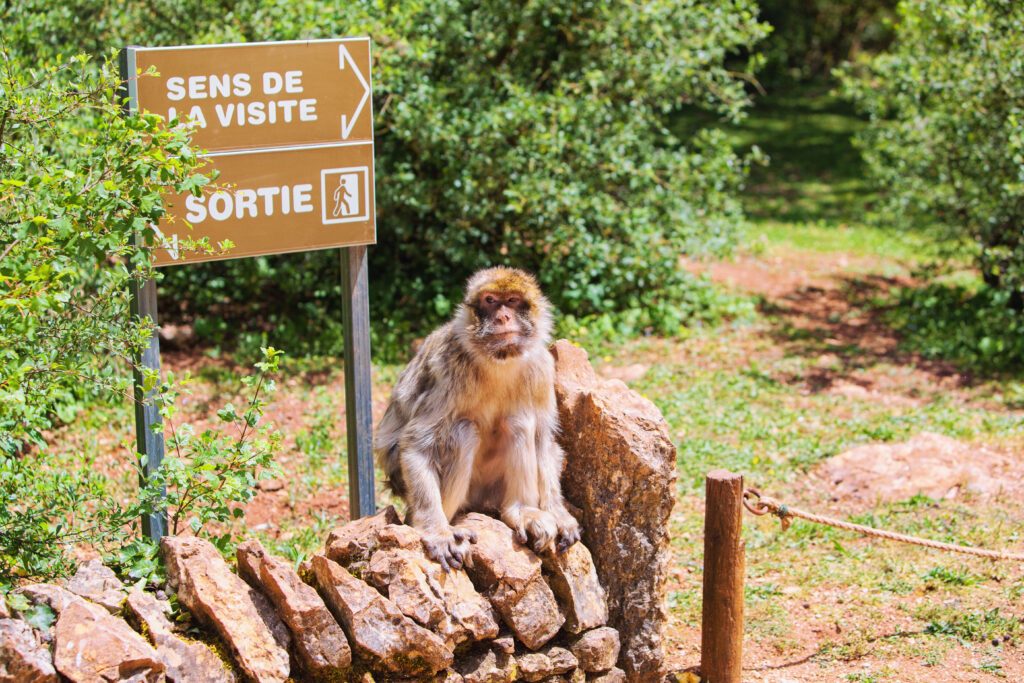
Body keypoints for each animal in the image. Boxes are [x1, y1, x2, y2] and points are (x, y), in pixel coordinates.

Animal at [376, 266, 585, 573]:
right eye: (490, 301)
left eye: (512, 301)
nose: (503, 317)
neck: (498, 361)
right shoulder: (449, 368)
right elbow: (418, 445)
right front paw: (437, 532)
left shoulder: (541, 368)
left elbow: (544, 441)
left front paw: (557, 512)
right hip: (405, 479)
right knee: (463, 430)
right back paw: (448, 523)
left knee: (520, 422)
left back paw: (520, 511)